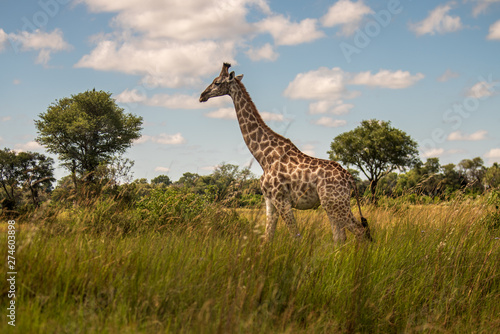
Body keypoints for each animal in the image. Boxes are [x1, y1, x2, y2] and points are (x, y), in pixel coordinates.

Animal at [200, 63, 372, 243]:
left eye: (217, 82)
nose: (202, 95)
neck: (263, 157)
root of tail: (350, 179)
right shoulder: (269, 200)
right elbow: (268, 237)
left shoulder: (281, 199)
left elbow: (295, 236)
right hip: (333, 204)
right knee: (340, 237)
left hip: (336, 203)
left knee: (360, 231)